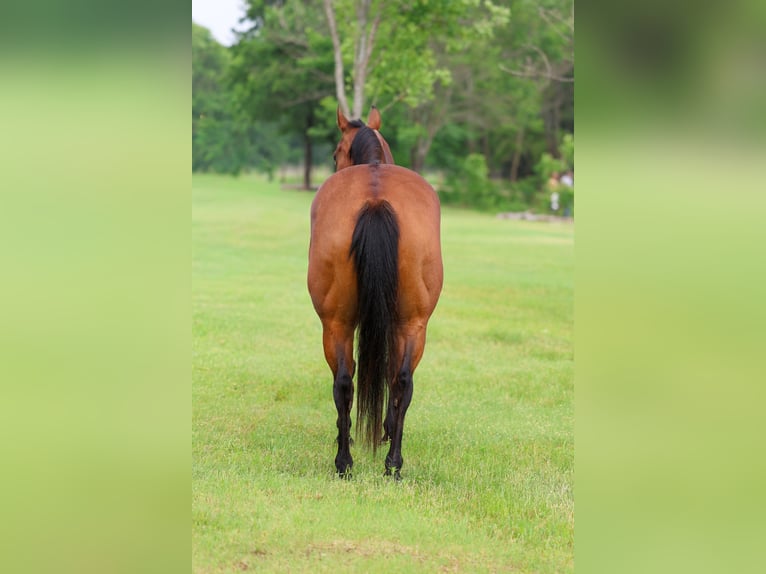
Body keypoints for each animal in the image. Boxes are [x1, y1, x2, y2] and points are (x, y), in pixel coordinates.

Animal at [307, 106, 443, 479]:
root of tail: (376, 199)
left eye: (336, 153)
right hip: (408, 323)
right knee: (396, 380)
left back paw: (352, 461)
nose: (335, 163)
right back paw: (386, 463)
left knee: (349, 380)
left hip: (339, 323)